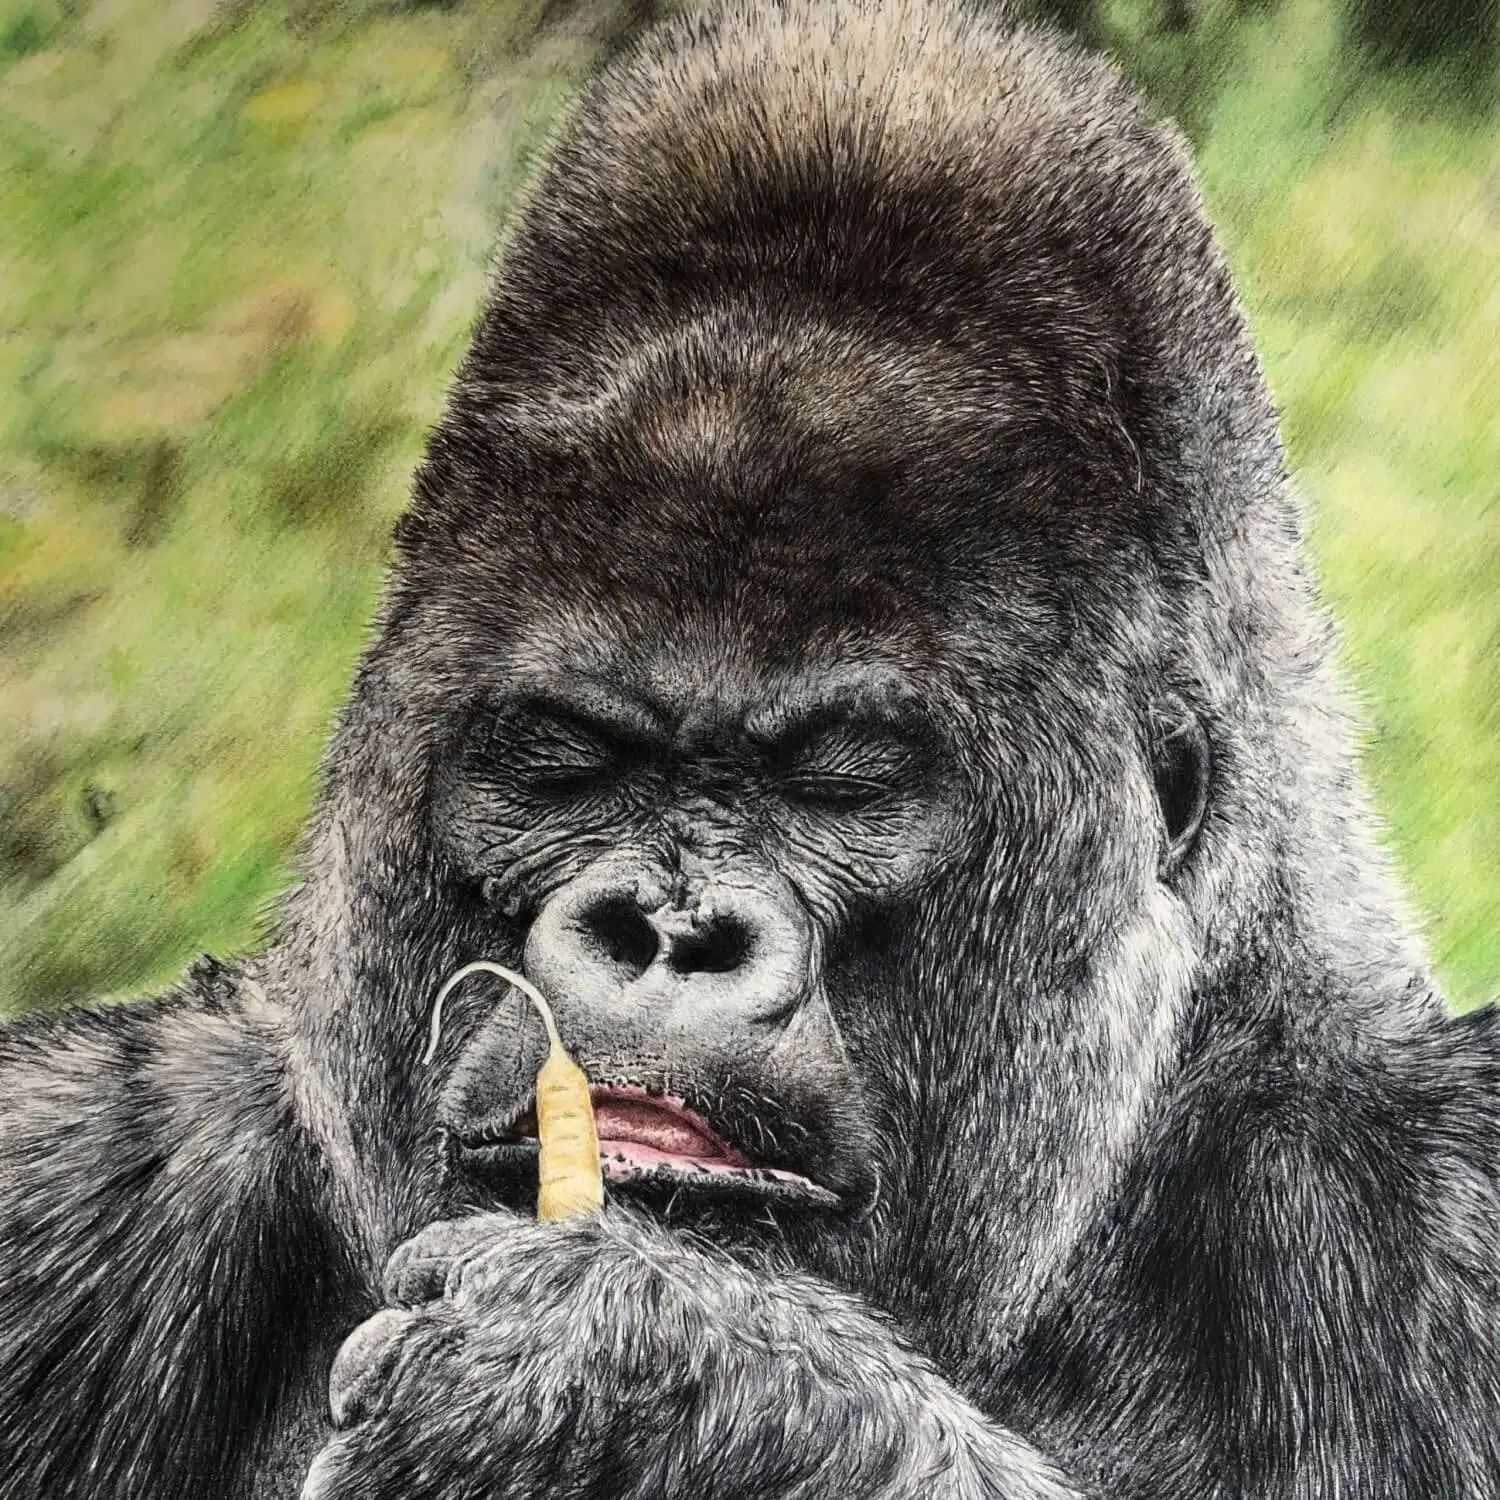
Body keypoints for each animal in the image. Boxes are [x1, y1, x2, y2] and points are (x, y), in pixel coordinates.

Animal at [3, 1, 1498, 1497]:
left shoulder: (1445, 1184)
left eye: (838, 787)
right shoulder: (64, 1150)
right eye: (573, 763)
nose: (668, 934)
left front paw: (640, 1386)